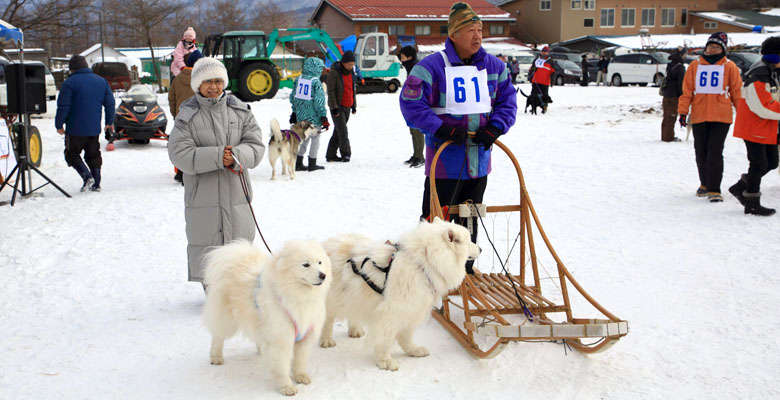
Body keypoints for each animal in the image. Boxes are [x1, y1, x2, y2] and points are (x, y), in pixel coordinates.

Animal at [203, 239, 330, 396]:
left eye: (320, 262)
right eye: (306, 264)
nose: (323, 275)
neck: (299, 296)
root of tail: (233, 260)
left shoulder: (304, 337)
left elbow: (299, 362)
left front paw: (301, 377)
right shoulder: (281, 339)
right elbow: (282, 366)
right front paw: (287, 387)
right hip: (228, 320)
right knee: (218, 337)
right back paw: (216, 358)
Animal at [318, 219, 478, 372]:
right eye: (469, 241)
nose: (481, 249)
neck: (423, 263)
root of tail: (323, 245)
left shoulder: (410, 309)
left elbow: (407, 336)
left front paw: (413, 350)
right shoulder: (391, 312)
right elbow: (385, 339)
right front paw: (386, 361)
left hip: (354, 295)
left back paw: (355, 330)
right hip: (333, 299)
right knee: (328, 320)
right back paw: (326, 340)